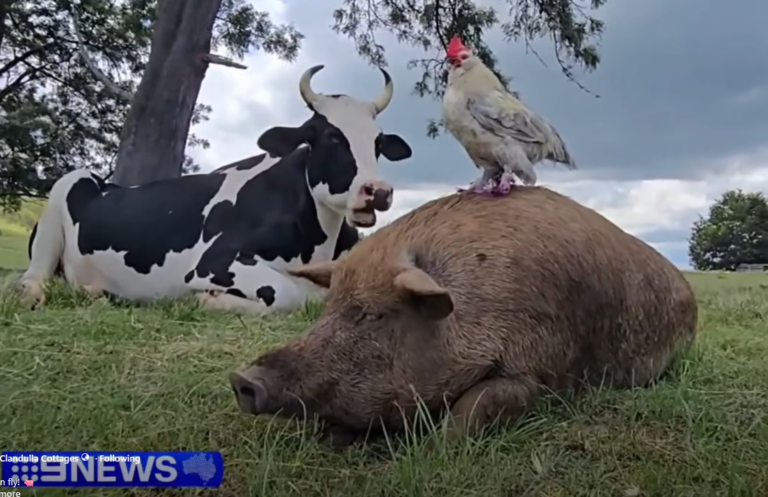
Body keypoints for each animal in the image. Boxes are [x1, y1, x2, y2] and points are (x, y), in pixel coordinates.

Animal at [19, 65, 413, 315]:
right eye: (330, 136)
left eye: (378, 143)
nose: (377, 191)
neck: (315, 245)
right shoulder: (214, 262)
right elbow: (285, 294)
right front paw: (206, 300)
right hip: (61, 196)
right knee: (33, 276)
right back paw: (32, 295)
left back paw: (96, 294)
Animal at [229, 187, 698, 450]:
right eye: (329, 308)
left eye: (372, 314)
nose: (242, 379)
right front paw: (333, 440)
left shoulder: (541, 368)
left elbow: (477, 403)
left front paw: (438, 448)